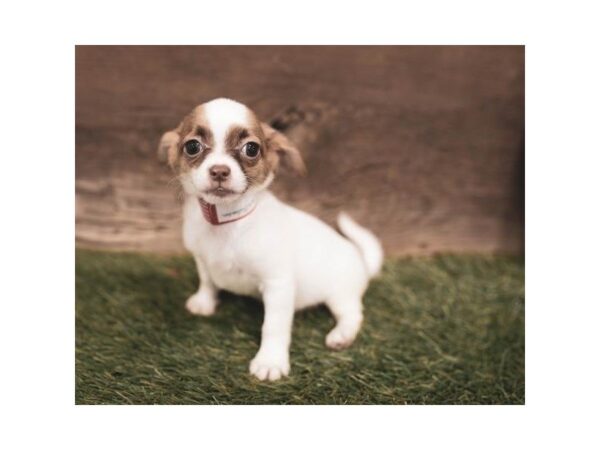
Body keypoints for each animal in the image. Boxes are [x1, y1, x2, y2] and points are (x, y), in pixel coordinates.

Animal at [158, 97, 384, 380]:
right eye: (192, 146)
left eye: (251, 149)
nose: (219, 171)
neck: (226, 223)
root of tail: (362, 261)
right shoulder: (202, 259)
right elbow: (207, 281)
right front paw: (204, 302)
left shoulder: (278, 285)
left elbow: (273, 326)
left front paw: (270, 361)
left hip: (341, 293)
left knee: (353, 314)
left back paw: (341, 335)